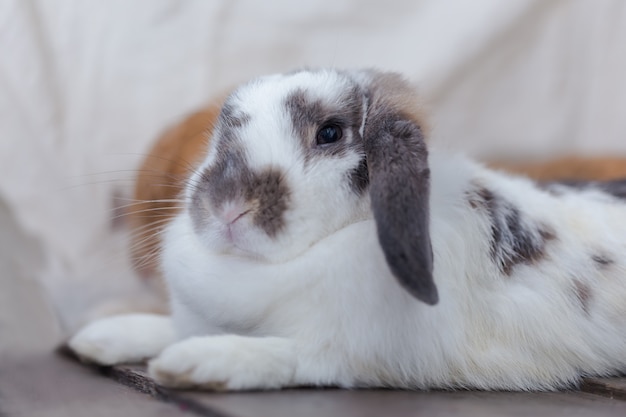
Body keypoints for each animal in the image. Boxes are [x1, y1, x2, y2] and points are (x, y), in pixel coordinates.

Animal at [68, 67, 624, 390]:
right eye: (221, 133)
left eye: (330, 133)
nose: (228, 208)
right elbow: (168, 325)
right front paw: (98, 337)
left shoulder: (350, 354)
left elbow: (281, 354)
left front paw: (193, 363)